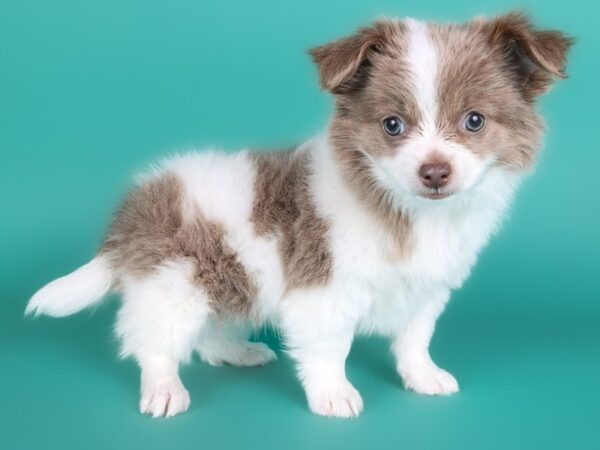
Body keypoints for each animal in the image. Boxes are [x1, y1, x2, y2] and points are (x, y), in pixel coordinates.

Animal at [26, 12, 572, 418]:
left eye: (474, 121)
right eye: (392, 126)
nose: (434, 171)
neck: (403, 208)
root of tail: (133, 215)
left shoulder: (425, 289)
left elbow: (414, 339)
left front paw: (423, 376)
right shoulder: (324, 292)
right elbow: (330, 347)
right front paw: (334, 394)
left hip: (223, 275)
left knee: (211, 329)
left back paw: (236, 351)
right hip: (173, 283)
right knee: (156, 342)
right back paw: (163, 388)